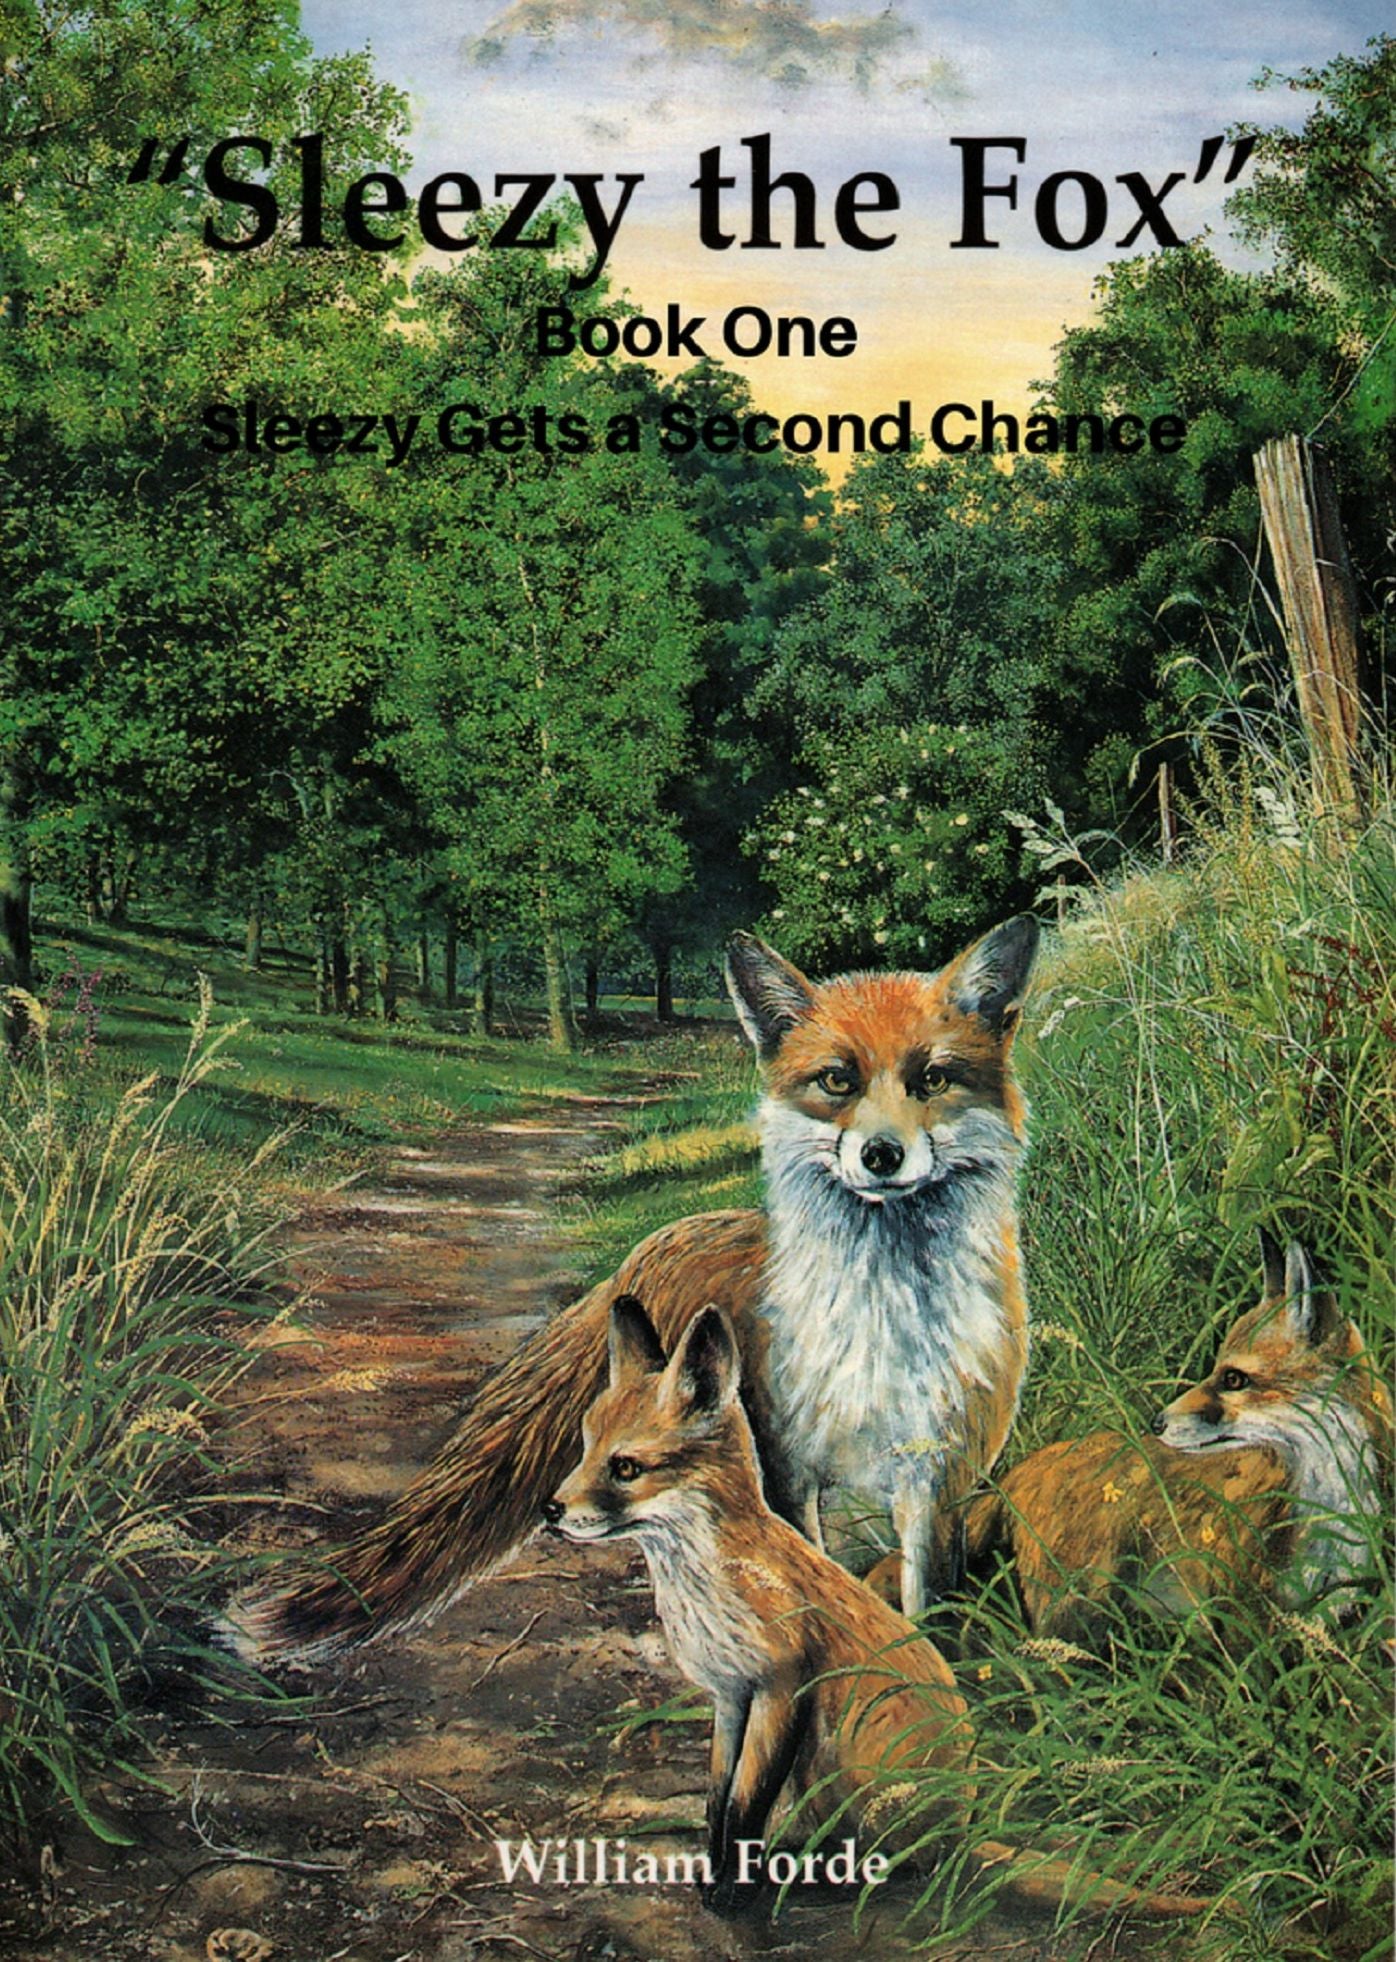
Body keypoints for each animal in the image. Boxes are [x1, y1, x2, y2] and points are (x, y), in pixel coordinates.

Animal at [229, 915, 1038, 1660]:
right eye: (838, 1080)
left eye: (932, 1079)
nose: (881, 1155)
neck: (880, 1317)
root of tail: (656, 1242)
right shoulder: (786, 1470)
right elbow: (807, 1579)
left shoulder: (941, 1478)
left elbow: (926, 1608)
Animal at [546, 1294, 1216, 1921]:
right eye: (584, 1448)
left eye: (625, 1467)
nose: (552, 1511)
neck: (713, 1579)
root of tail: (962, 1822)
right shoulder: (731, 1696)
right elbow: (717, 1802)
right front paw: (714, 1876)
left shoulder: (780, 1686)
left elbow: (745, 1803)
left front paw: (732, 1893)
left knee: (894, 1861)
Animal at [934, 1231, 1392, 1636]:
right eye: (1218, 1369)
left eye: (1234, 1379)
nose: (1156, 1423)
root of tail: (1019, 1471)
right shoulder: (1240, 1619)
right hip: (1074, 1612)